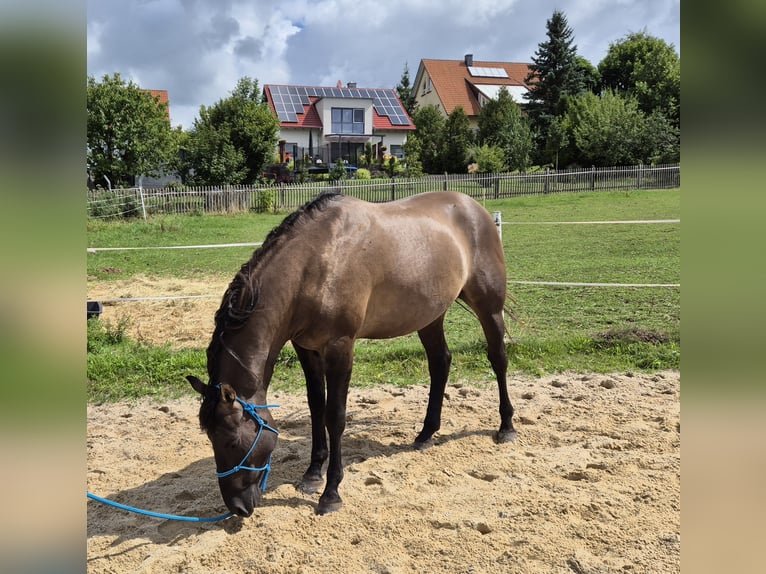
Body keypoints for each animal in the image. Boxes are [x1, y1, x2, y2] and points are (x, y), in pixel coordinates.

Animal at [186, 190, 517, 516]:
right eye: (210, 437)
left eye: (231, 441)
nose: (237, 506)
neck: (315, 264)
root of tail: (473, 207)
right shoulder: (306, 348)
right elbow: (316, 407)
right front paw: (312, 474)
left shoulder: (340, 347)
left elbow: (335, 416)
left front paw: (331, 493)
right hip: (430, 315)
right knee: (440, 363)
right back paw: (426, 434)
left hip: (488, 307)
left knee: (498, 359)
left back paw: (506, 427)